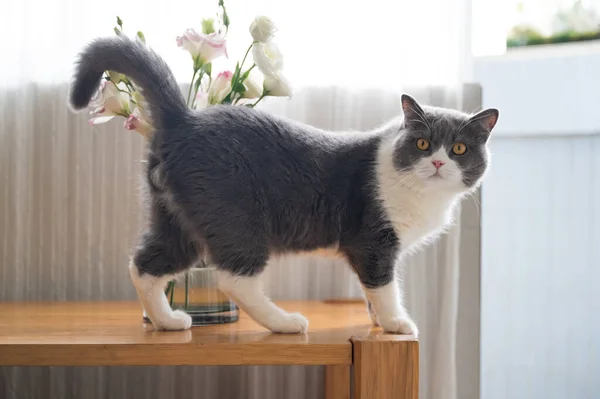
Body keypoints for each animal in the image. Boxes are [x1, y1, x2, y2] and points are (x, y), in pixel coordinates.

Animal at [68, 36, 500, 338]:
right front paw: (396, 323)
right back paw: (285, 322)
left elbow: (370, 288)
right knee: (234, 277)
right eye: (423, 144)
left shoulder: (370, 251)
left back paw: (167, 321)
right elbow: (383, 285)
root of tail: (185, 120)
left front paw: (377, 320)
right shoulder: (373, 242)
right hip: (234, 212)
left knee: (145, 263)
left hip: (177, 216)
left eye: (459, 149)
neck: (424, 196)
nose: (439, 162)